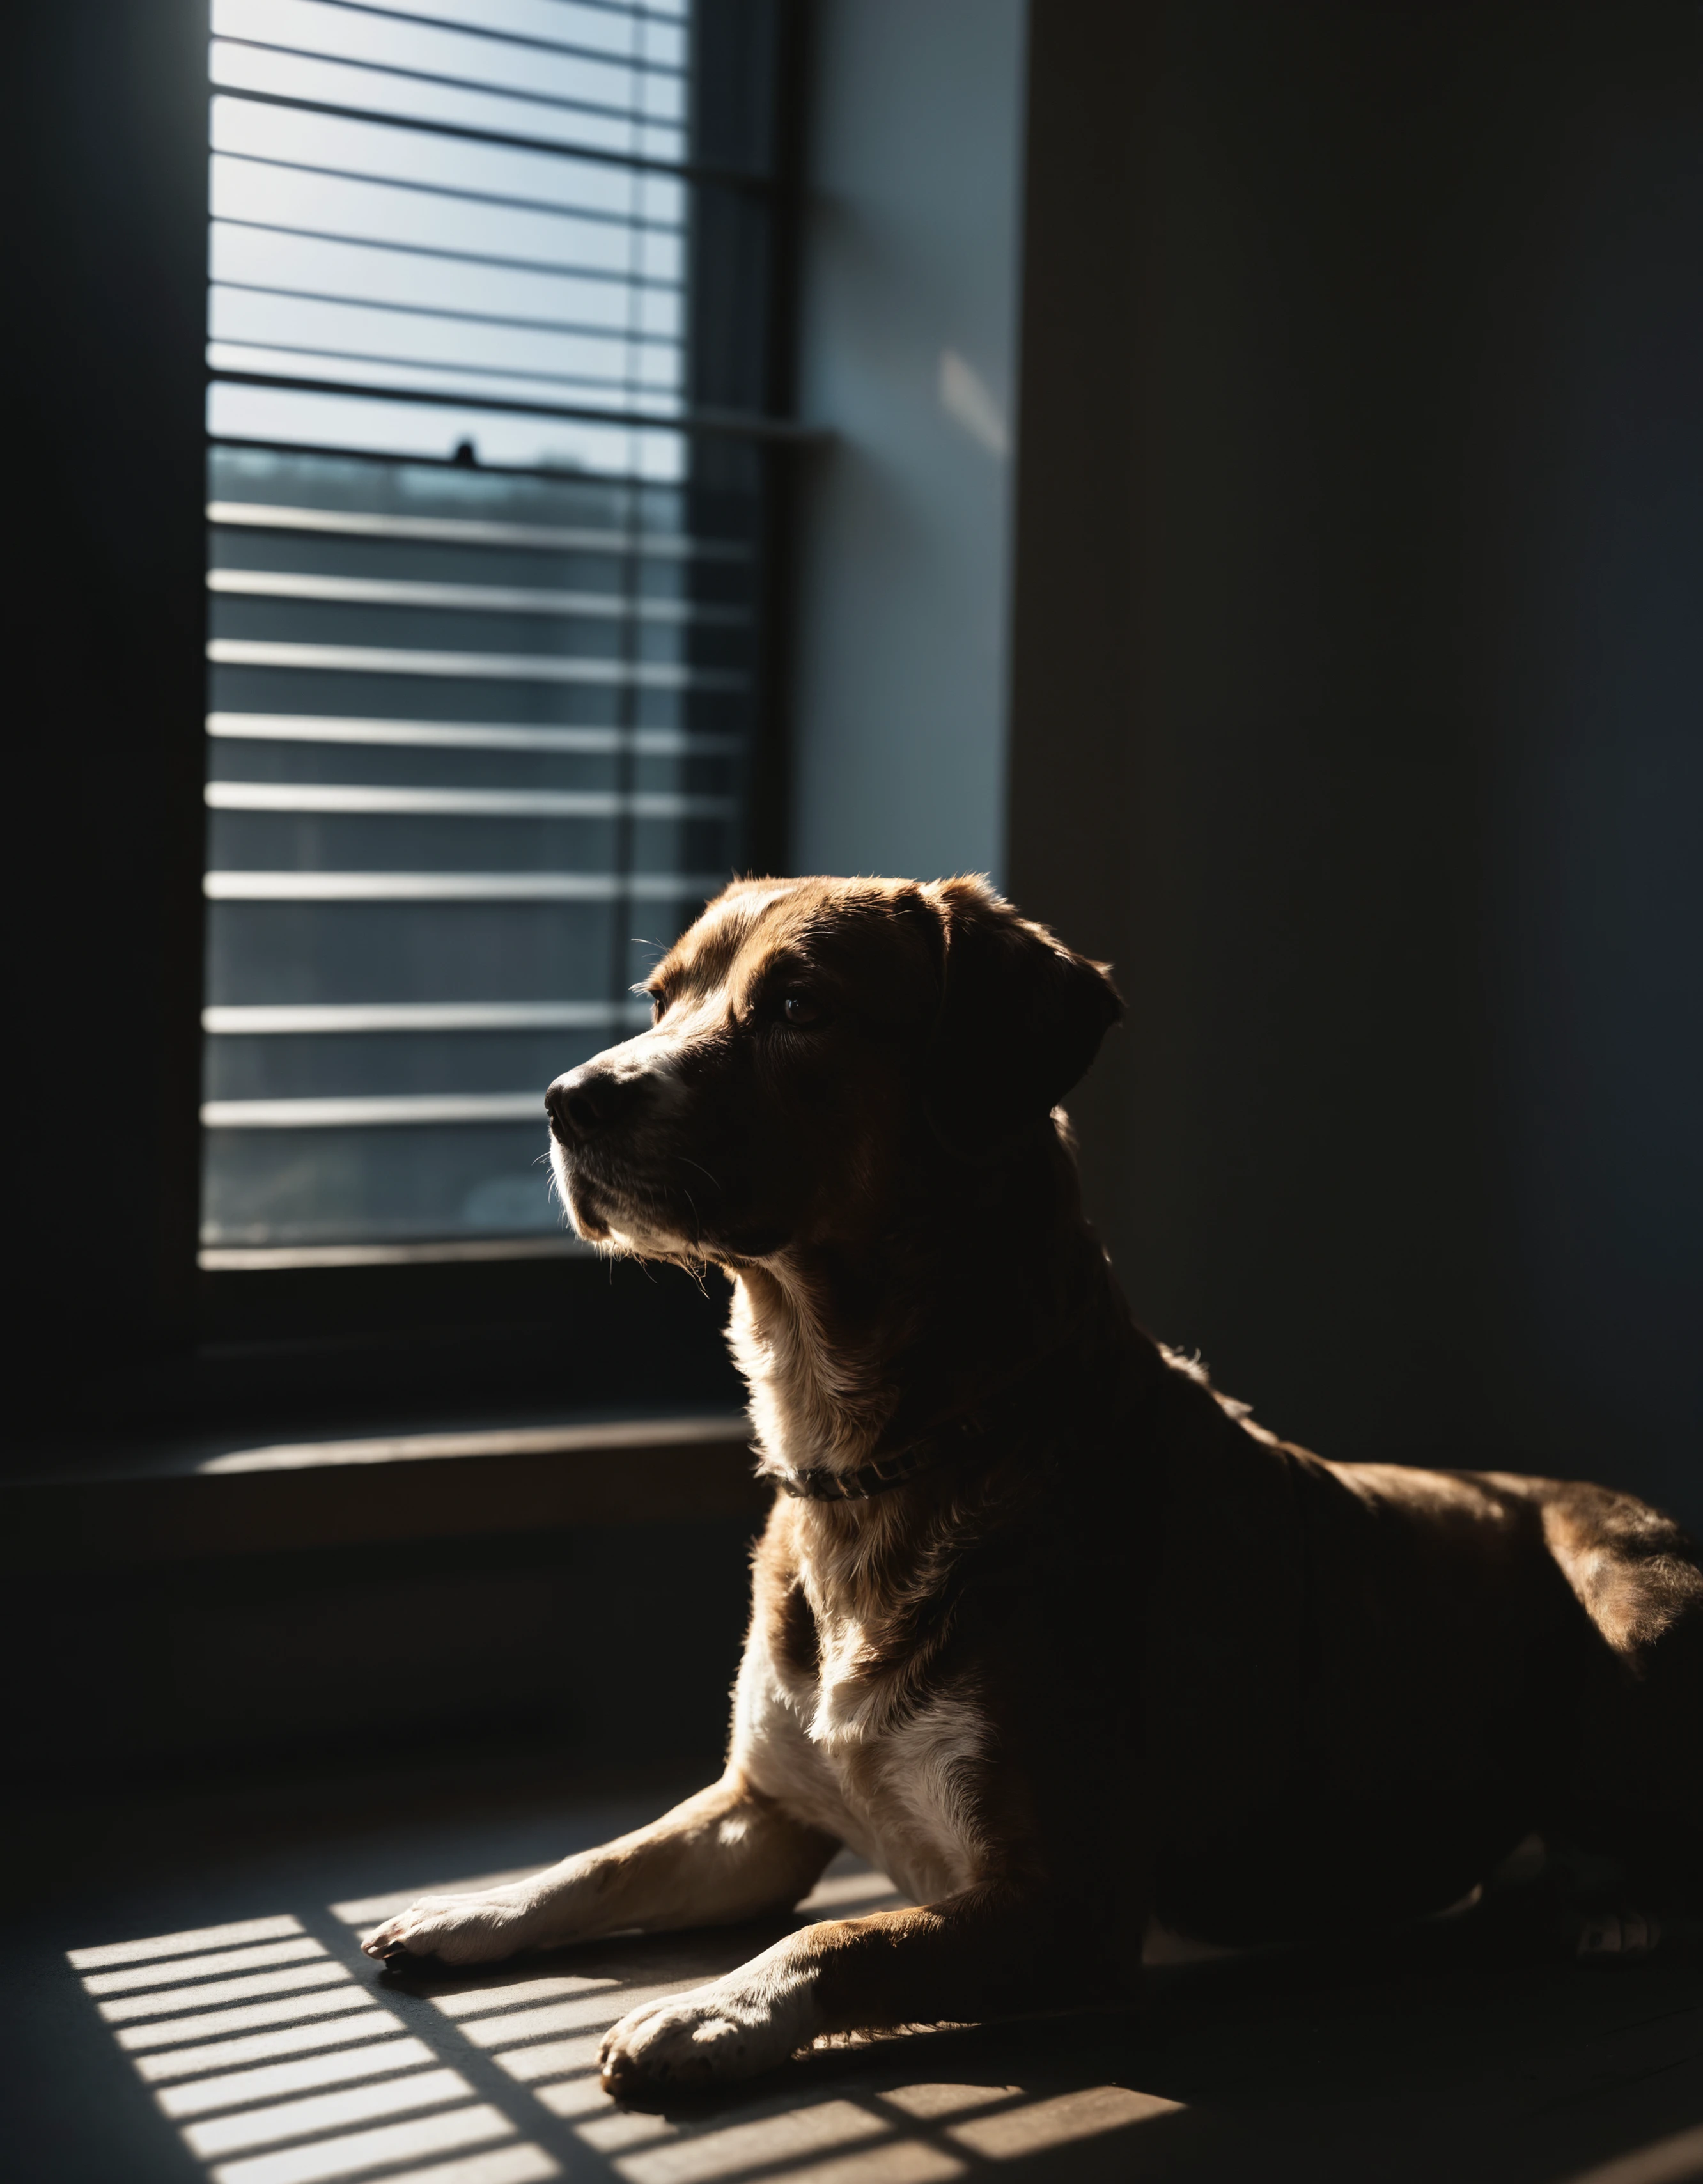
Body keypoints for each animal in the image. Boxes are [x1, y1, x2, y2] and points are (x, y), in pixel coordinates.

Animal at [362, 869, 1703, 2096]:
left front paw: (709, 2010)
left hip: (1626, 1597)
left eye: (797, 1005)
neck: (872, 1460)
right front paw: (468, 1910)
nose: (567, 1101)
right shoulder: (762, 1813)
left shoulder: (1068, 1901)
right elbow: (607, 1859)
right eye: (659, 999)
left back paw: (1611, 1901)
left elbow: (838, 1934)